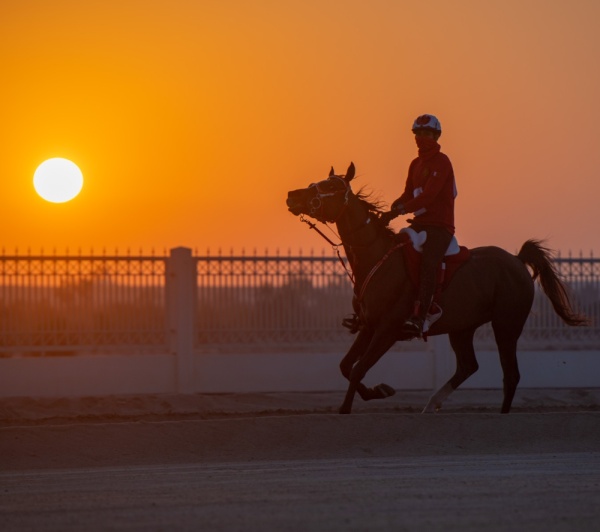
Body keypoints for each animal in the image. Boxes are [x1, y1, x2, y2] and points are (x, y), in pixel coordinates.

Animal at [286, 162, 584, 416]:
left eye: (331, 186)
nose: (292, 195)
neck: (378, 258)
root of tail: (517, 260)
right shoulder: (369, 326)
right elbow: (346, 366)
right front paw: (378, 391)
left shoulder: (387, 330)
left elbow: (359, 368)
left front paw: (347, 407)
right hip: (463, 328)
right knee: (468, 366)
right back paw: (432, 404)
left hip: (507, 325)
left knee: (510, 374)